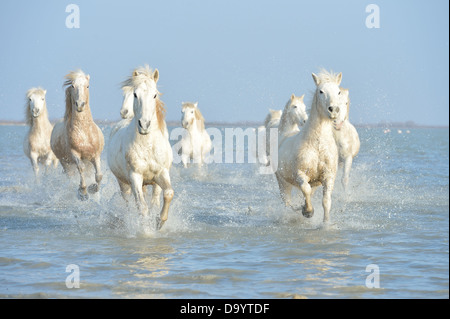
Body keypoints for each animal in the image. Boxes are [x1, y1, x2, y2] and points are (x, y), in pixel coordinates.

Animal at [107, 65, 174, 230]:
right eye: (135, 94)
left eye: (155, 95)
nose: (144, 125)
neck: (148, 144)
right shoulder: (135, 176)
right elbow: (142, 207)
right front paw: (146, 229)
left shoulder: (162, 173)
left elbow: (168, 193)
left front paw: (159, 222)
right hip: (124, 183)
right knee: (129, 201)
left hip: (152, 183)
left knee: (154, 198)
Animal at [276, 70, 342, 224]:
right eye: (321, 91)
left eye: (339, 92)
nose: (333, 110)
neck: (317, 146)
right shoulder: (300, 174)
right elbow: (305, 189)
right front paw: (307, 211)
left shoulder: (328, 176)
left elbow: (326, 201)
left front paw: (326, 223)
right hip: (283, 183)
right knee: (287, 202)